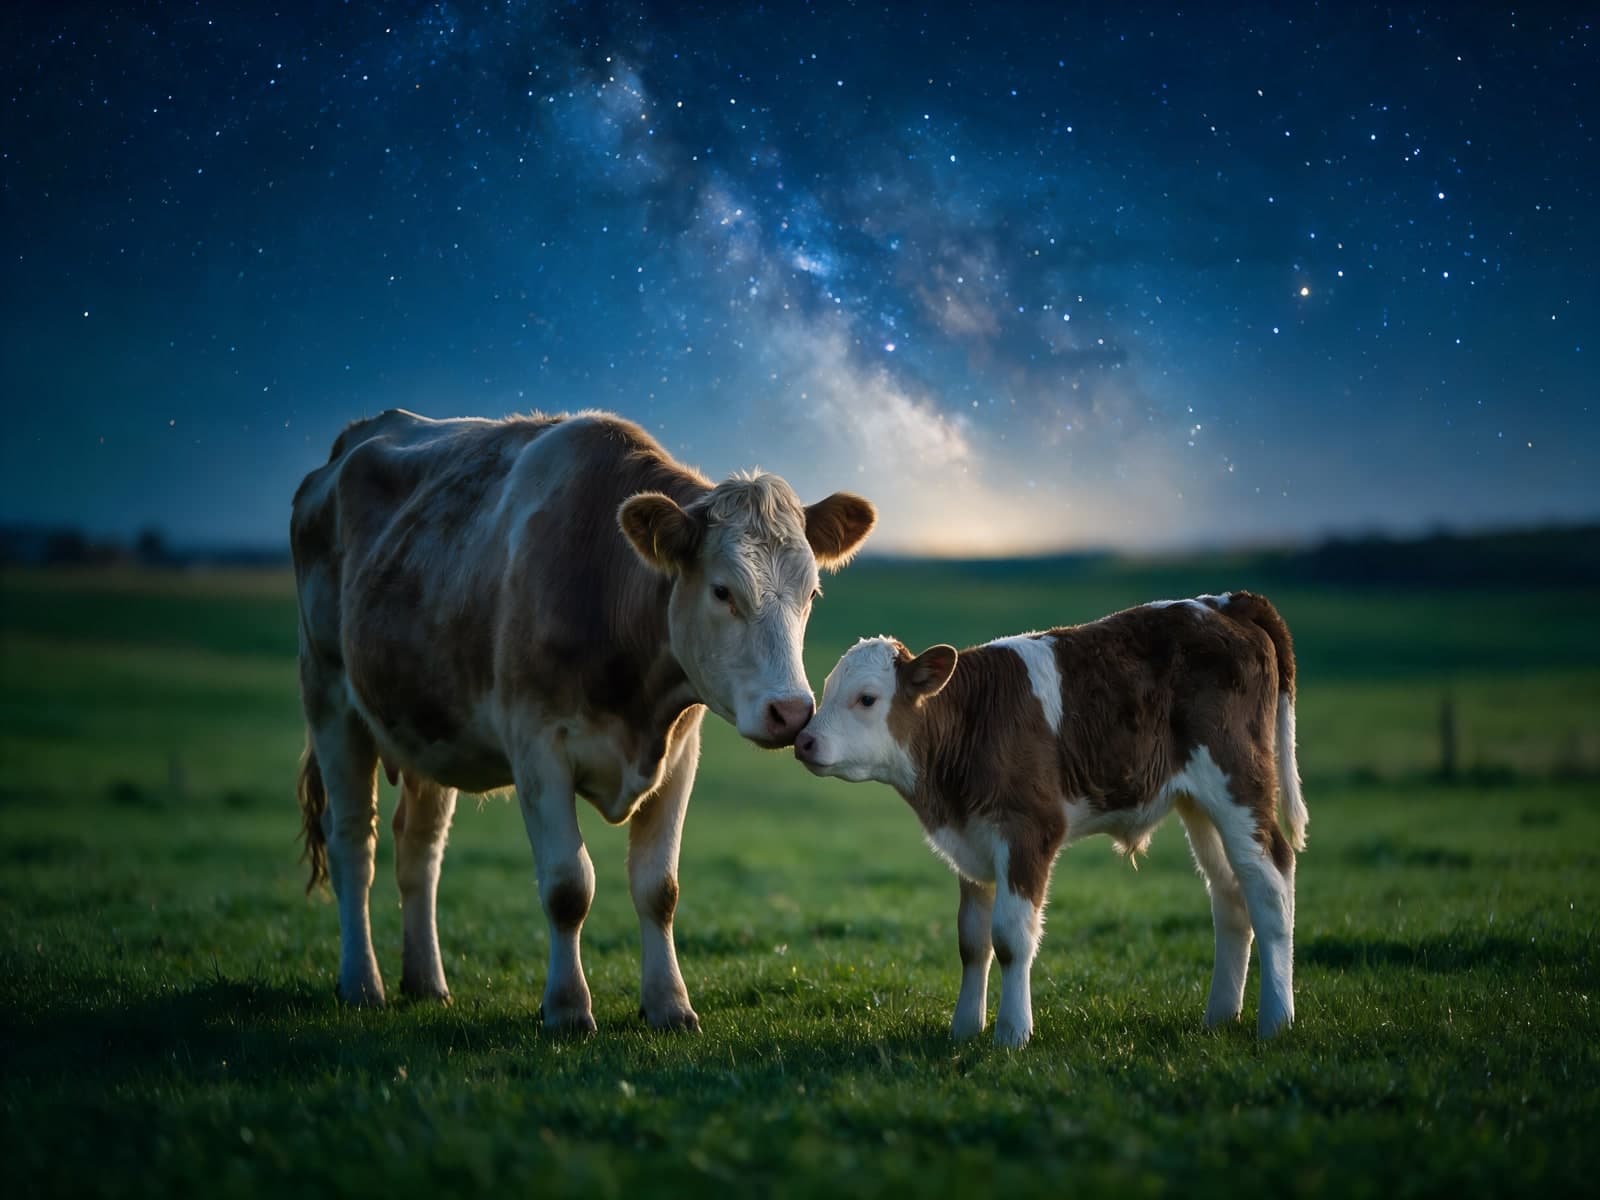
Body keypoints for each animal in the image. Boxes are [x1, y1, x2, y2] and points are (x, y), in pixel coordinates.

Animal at [290, 409, 875, 1031]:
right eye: (722, 591)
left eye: (811, 592)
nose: (791, 711)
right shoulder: (537, 749)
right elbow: (569, 886)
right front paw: (568, 1008)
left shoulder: (680, 754)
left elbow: (658, 888)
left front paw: (669, 1004)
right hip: (330, 698)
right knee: (354, 841)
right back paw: (362, 983)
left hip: (426, 726)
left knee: (419, 849)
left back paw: (426, 982)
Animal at [793, 592, 1306, 1047]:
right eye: (828, 689)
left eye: (866, 699)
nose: (804, 741)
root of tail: (1224, 602)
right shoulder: (970, 841)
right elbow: (971, 940)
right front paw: (964, 1029)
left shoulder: (1028, 831)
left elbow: (1010, 937)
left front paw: (1012, 1032)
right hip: (1198, 803)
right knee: (1230, 894)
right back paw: (1220, 1015)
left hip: (1237, 781)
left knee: (1270, 883)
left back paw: (1276, 1019)